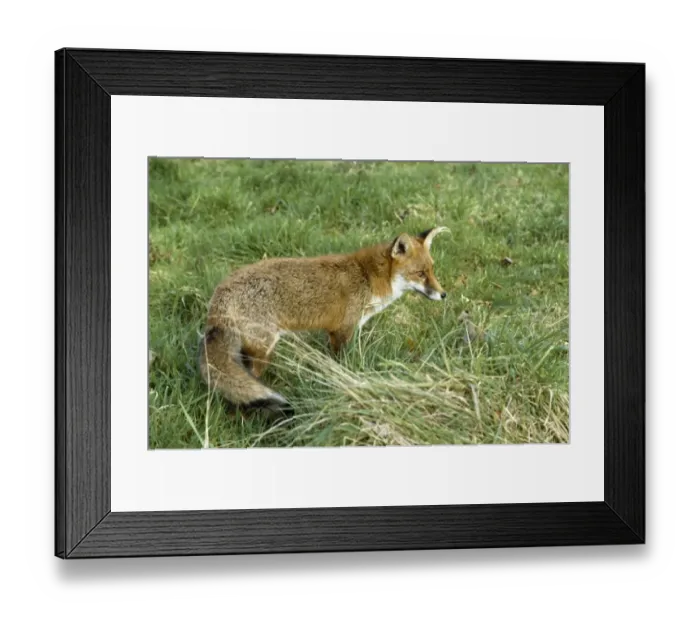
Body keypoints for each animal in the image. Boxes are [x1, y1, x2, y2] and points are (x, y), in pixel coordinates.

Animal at [198, 226, 450, 417]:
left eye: (432, 270)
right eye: (420, 273)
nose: (443, 294)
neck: (368, 278)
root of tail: (219, 296)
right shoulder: (342, 331)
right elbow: (342, 365)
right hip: (264, 348)